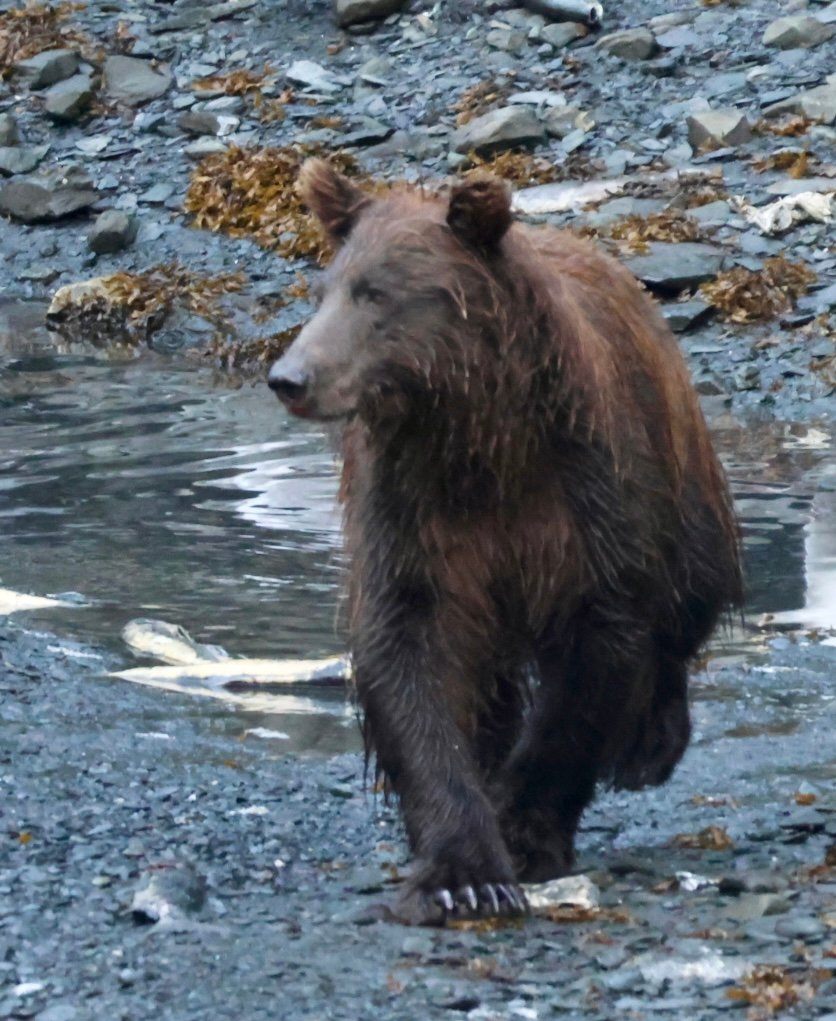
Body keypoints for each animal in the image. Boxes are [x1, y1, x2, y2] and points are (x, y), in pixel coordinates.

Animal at [268, 159, 743, 925]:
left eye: (377, 293)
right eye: (322, 289)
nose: (290, 376)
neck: (477, 433)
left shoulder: (585, 498)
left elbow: (595, 657)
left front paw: (524, 829)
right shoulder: (412, 512)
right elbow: (408, 655)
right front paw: (462, 871)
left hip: (681, 468)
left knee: (686, 600)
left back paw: (650, 743)